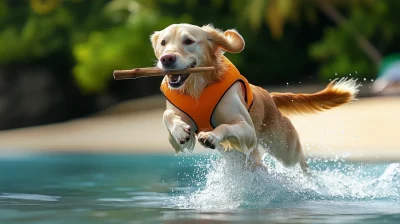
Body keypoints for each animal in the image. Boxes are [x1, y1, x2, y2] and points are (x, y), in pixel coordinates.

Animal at [151, 24, 360, 172]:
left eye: (188, 41)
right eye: (163, 43)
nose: (167, 59)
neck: (198, 89)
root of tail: (271, 96)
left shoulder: (248, 130)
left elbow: (225, 126)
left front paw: (211, 135)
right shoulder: (176, 137)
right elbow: (166, 116)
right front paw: (179, 130)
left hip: (284, 146)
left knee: (300, 160)